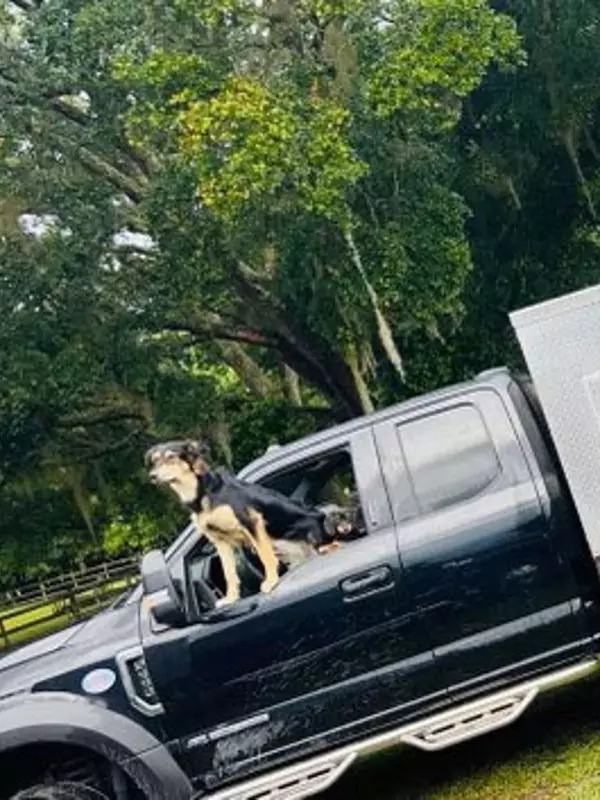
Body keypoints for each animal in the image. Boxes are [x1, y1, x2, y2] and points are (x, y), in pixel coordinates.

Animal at [146, 440, 354, 604]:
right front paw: (231, 598)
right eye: (155, 460)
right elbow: (229, 573)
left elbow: (264, 556)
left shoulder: (251, 522)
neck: (204, 493)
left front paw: (271, 582)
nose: (152, 476)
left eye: (171, 457)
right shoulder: (219, 541)